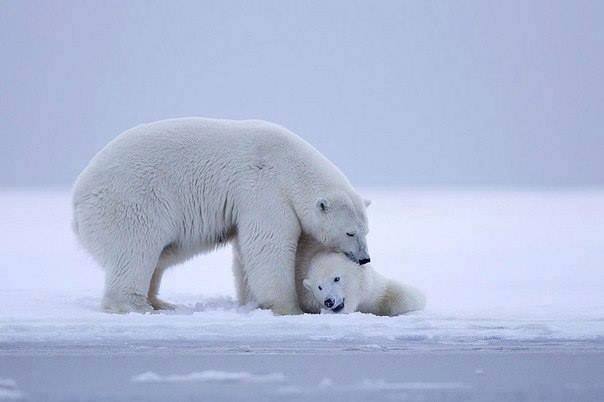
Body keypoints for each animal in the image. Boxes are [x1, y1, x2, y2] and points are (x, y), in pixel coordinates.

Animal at [73, 118, 370, 316]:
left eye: (366, 231)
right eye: (350, 232)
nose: (365, 259)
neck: (289, 164)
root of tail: (77, 200)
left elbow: (245, 254)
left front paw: (251, 301)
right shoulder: (264, 189)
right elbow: (267, 245)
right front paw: (288, 307)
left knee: (157, 256)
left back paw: (160, 302)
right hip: (132, 201)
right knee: (136, 250)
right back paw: (135, 305)